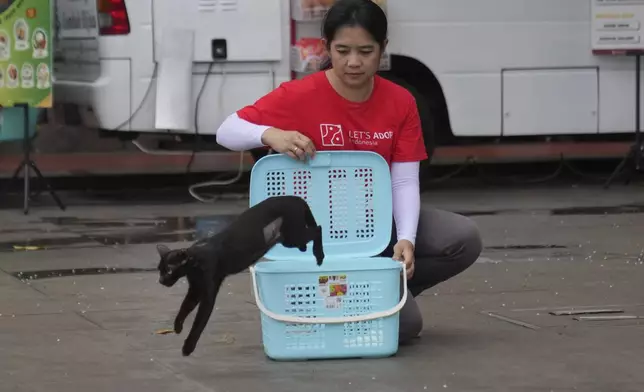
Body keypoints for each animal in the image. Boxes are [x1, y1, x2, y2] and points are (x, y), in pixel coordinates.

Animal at [155, 195, 324, 356]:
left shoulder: (208, 293)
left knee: (318, 228)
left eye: (169, 270)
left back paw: (319, 255)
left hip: (293, 234)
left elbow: (199, 322)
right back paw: (306, 249)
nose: (161, 280)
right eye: (160, 270)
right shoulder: (195, 289)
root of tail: (295, 198)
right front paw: (177, 327)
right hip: (288, 239)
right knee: (312, 232)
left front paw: (188, 347)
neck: (196, 261)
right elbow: (184, 307)